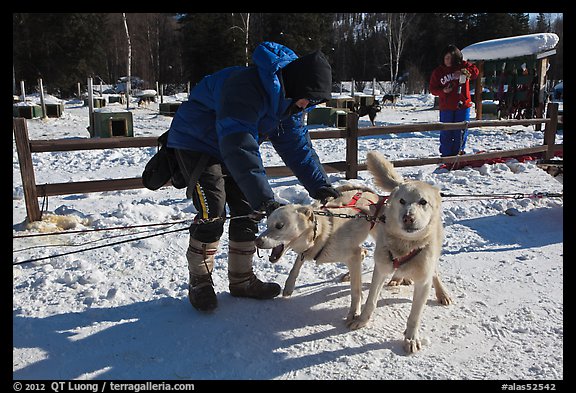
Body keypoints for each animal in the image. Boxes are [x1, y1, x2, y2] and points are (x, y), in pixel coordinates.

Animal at [254, 184, 384, 322]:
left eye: (279, 226)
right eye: (267, 225)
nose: (256, 241)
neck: (323, 233)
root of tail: (371, 193)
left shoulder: (353, 255)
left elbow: (356, 289)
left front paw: (354, 311)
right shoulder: (306, 252)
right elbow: (295, 267)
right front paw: (289, 286)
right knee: (364, 251)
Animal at [346, 151, 454, 352]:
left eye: (423, 202)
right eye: (402, 201)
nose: (408, 217)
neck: (405, 245)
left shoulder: (423, 282)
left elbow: (415, 316)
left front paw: (411, 338)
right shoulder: (380, 270)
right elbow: (370, 301)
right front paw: (362, 320)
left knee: (434, 272)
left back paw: (442, 293)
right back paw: (398, 277)